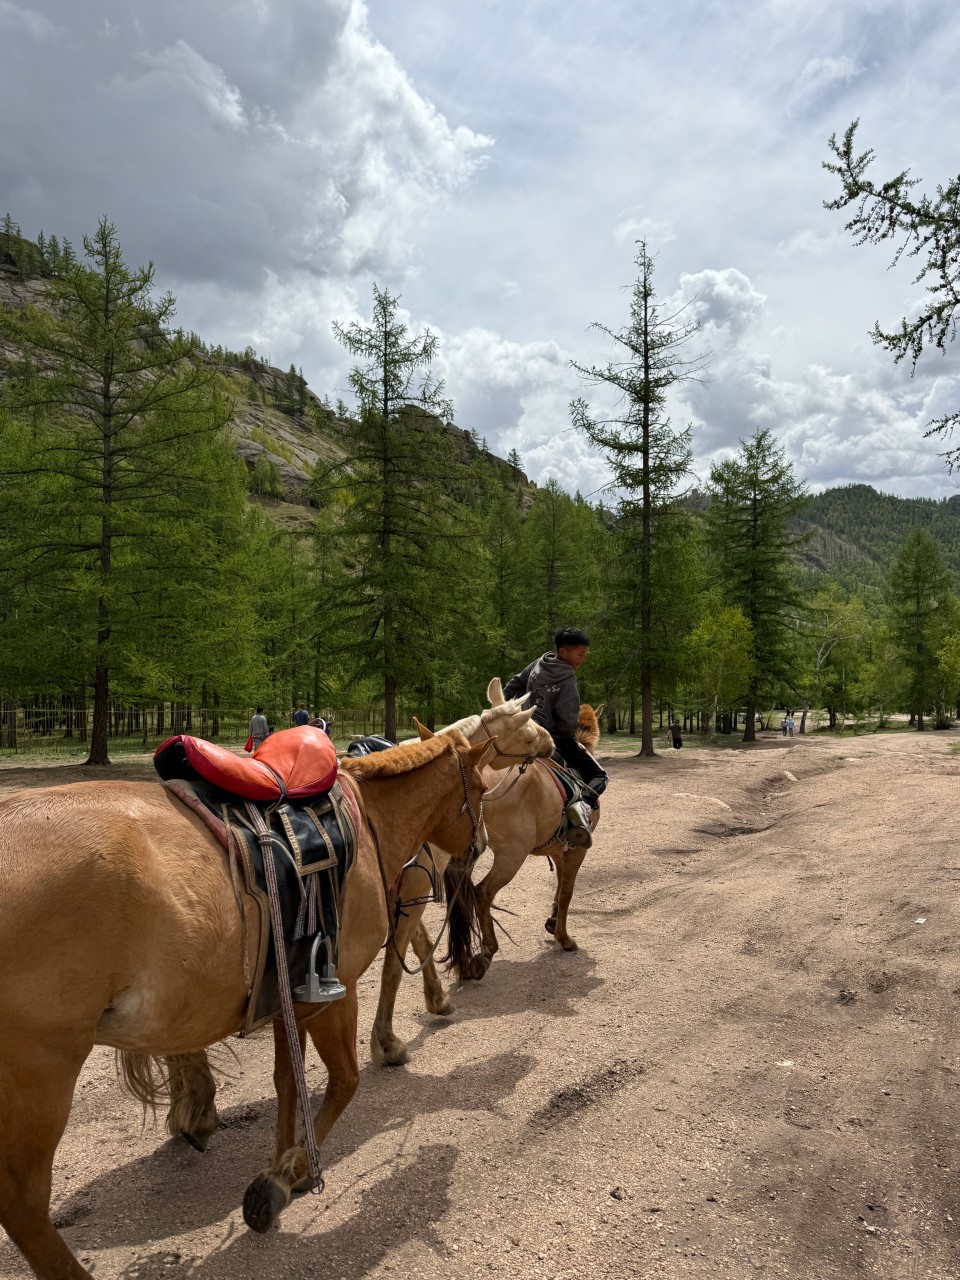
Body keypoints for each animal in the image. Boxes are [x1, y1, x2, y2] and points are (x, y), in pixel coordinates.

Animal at [0, 730, 494, 1280]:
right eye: (480, 789)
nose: (480, 844)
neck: (369, 824)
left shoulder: (286, 995)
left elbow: (286, 1084)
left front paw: (286, 1163)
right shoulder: (334, 991)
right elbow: (345, 1082)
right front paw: (290, 1175)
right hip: (40, 1071)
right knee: (22, 1201)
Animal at [369, 685, 602, 1066]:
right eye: (527, 730)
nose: (551, 744)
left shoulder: (408, 890)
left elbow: (417, 942)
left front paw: (438, 999)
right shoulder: (574, 850)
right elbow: (567, 891)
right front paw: (564, 937)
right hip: (511, 856)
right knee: (482, 893)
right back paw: (484, 954)